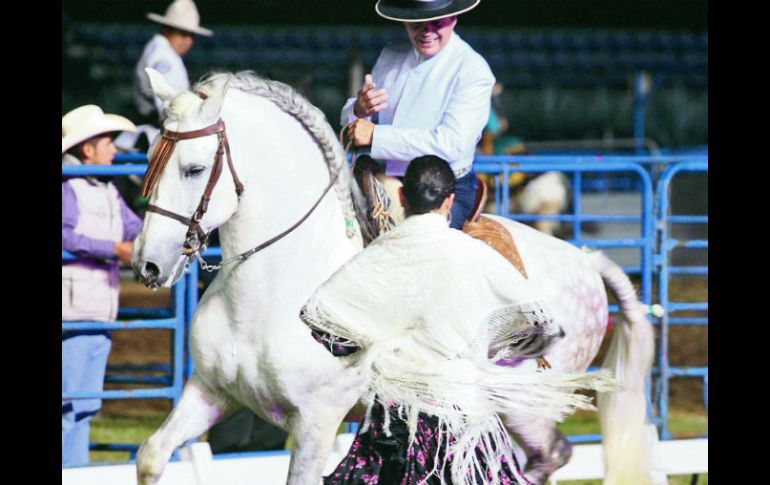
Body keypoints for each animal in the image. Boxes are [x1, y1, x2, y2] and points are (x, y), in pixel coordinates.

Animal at [130, 69, 656, 484]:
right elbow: (152, 456)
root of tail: (585, 260)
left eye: (195, 168)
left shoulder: (316, 423)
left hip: (526, 404)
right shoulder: (210, 392)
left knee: (545, 458)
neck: (270, 294)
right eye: (152, 157)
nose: (148, 263)